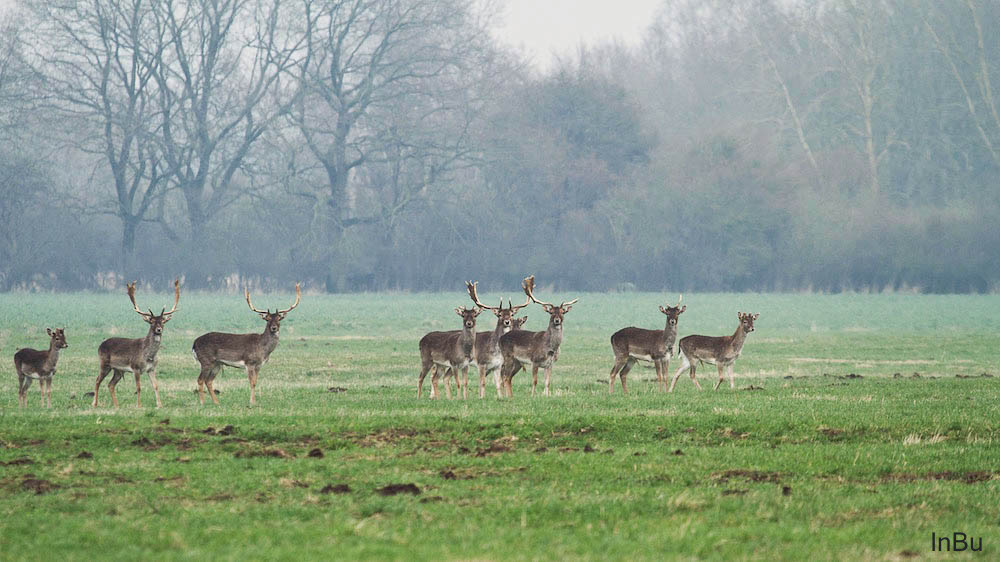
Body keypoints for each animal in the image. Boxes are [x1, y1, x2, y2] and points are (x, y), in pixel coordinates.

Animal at [94, 278, 180, 406]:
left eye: (162, 321)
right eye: (152, 321)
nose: (159, 329)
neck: (148, 355)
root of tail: (100, 345)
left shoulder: (152, 368)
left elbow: (156, 386)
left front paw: (159, 404)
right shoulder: (136, 368)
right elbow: (138, 387)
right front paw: (138, 405)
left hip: (118, 370)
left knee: (110, 384)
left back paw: (116, 406)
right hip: (104, 363)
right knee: (97, 380)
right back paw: (94, 403)